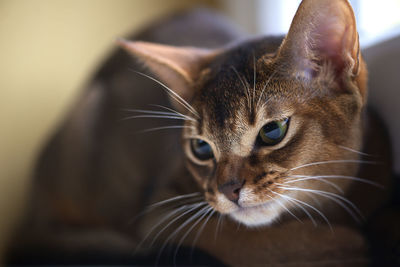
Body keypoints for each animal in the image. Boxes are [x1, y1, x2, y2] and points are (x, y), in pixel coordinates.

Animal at [5, 0, 394, 266]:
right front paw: (341, 248)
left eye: (273, 131)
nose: (228, 190)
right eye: (201, 149)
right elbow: (247, 240)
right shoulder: (160, 213)